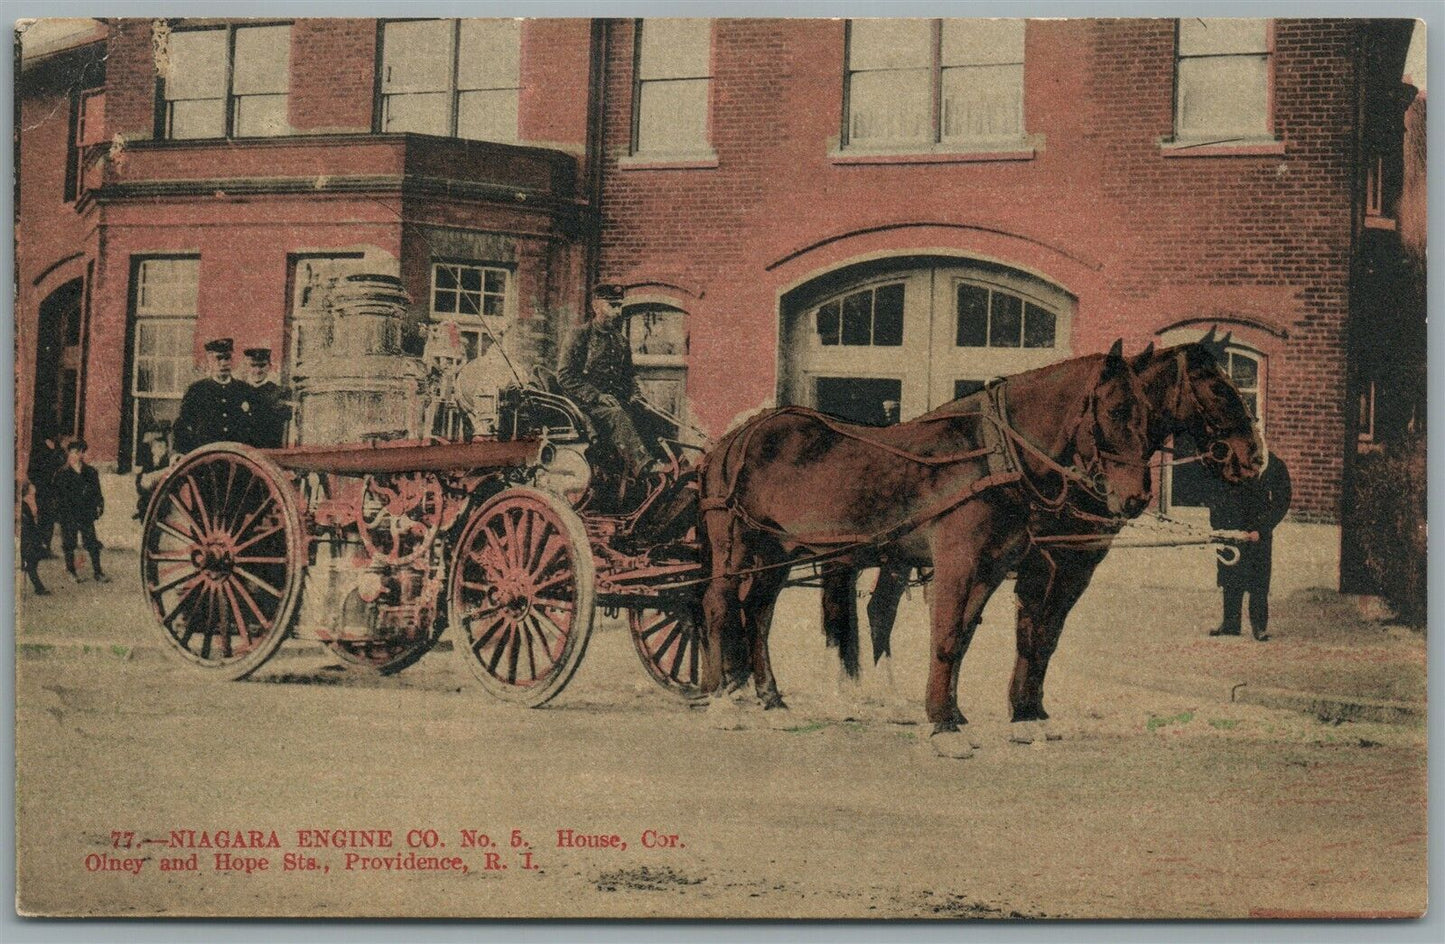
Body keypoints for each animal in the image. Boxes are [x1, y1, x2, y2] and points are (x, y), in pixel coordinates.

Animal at [699, 341, 1150, 728]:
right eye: (1116, 410)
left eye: (1145, 409)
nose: (1137, 497)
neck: (991, 453)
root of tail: (734, 438)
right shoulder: (956, 561)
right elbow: (947, 633)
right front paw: (940, 716)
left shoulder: (990, 569)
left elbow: (964, 636)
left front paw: (952, 709)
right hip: (734, 544)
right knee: (718, 605)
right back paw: (721, 696)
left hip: (777, 549)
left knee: (758, 611)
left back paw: (770, 695)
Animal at [826, 331, 1265, 722]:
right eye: (1219, 387)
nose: (1254, 457)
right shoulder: (1045, 563)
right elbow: (1031, 631)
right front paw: (1020, 707)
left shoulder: (1076, 565)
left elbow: (1041, 635)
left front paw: (1017, 706)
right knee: (877, 610)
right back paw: (874, 691)